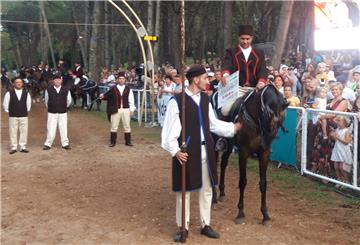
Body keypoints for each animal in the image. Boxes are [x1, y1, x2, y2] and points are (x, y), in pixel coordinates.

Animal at [214, 84, 286, 226]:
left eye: (281, 117)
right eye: (267, 113)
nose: (269, 138)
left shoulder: (264, 154)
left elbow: (263, 183)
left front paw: (265, 215)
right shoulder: (243, 152)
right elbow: (243, 181)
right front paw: (240, 213)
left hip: (229, 145)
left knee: (223, 163)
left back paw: (222, 192)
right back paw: (213, 197)